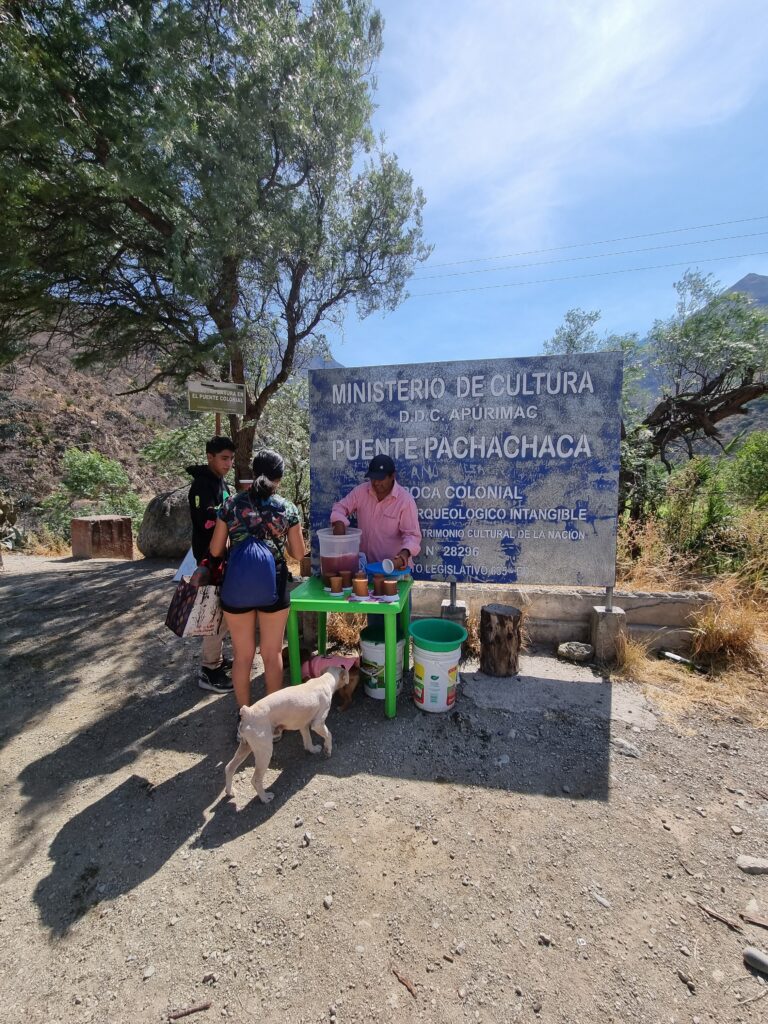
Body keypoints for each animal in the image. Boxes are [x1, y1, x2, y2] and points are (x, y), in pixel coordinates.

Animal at [222, 667, 352, 802]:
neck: (323, 680)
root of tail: (248, 712)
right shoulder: (318, 724)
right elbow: (329, 735)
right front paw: (328, 750)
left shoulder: (303, 725)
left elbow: (308, 741)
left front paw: (313, 750)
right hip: (264, 752)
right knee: (256, 780)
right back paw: (265, 798)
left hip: (245, 747)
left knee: (229, 768)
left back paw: (230, 791)